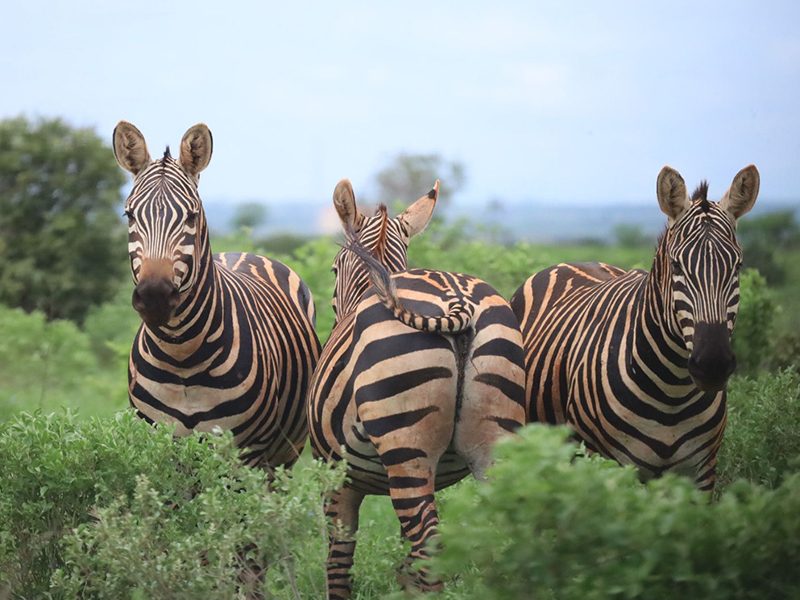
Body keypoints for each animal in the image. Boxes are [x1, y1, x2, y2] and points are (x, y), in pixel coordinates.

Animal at [112, 121, 321, 469]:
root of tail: (243, 252)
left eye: (192, 216)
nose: (154, 297)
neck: (182, 356)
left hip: (285, 452)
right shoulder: (159, 444)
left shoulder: (245, 453)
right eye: (129, 215)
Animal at [307, 179, 526, 598]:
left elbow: (338, 564)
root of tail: (458, 301)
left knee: (430, 552)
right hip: (494, 445)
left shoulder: (337, 478)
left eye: (333, 268)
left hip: (406, 447)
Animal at [510, 165, 760, 491]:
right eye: (676, 265)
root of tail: (574, 261)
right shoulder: (605, 465)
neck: (673, 392)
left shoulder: (702, 470)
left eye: (738, 266)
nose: (713, 365)